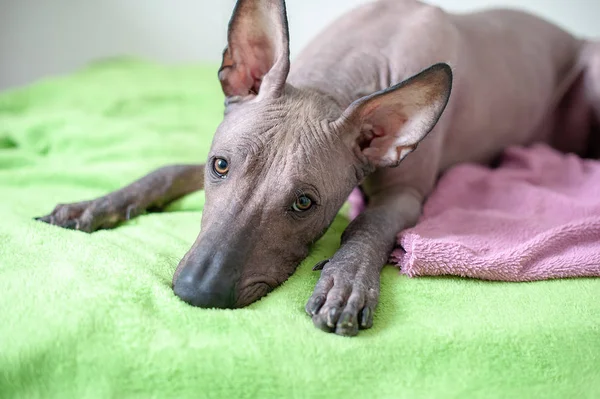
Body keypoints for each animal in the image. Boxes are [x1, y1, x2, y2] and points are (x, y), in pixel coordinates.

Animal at [37, 0, 600, 338]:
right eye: (219, 166)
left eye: (304, 203)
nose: (198, 293)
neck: (346, 71)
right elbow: (166, 169)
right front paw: (96, 204)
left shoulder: (406, 195)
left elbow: (366, 222)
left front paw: (345, 281)